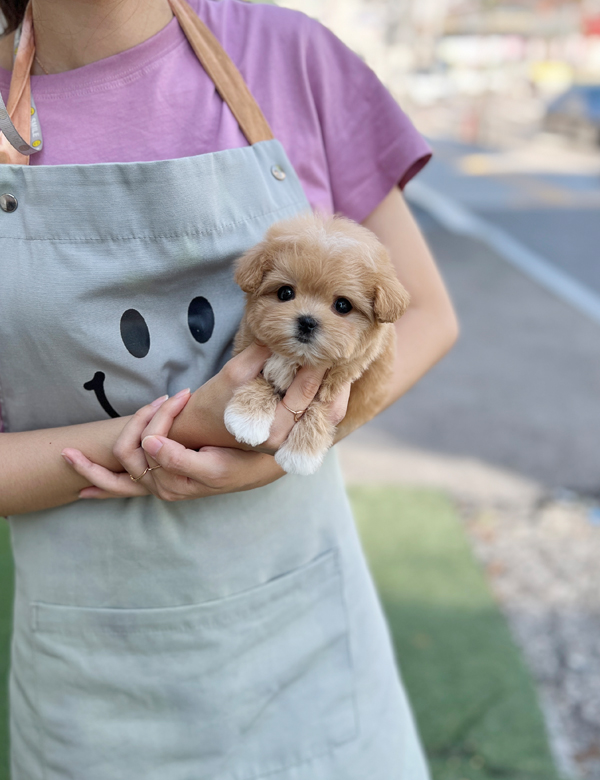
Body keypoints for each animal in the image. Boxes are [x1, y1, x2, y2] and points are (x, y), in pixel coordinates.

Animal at [223, 210, 410, 476]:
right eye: (285, 293)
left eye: (342, 305)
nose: (307, 321)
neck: (298, 358)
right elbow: (263, 379)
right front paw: (246, 419)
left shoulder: (341, 380)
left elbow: (318, 407)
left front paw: (301, 454)